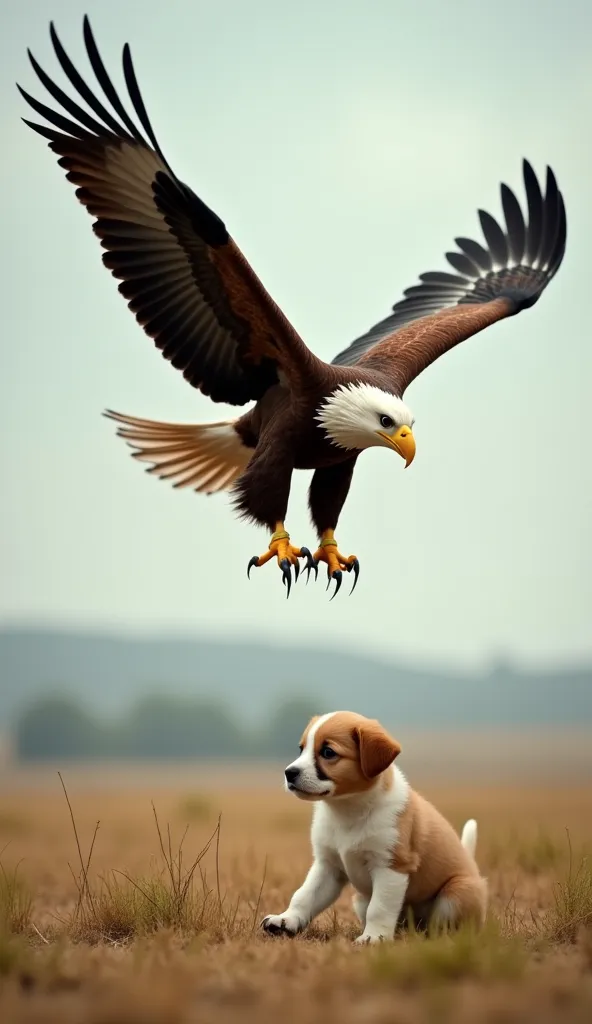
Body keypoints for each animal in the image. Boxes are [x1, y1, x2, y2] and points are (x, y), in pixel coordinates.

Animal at [260, 712, 485, 942]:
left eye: (328, 752)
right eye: (301, 748)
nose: (289, 773)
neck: (347, 810)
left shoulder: (390, 866)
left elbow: (379, 908)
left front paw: (374, 937)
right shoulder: (328, 866)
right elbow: (304, 896)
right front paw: (286, 920)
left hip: (457, 893)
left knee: (440, 925)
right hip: (360, 899)